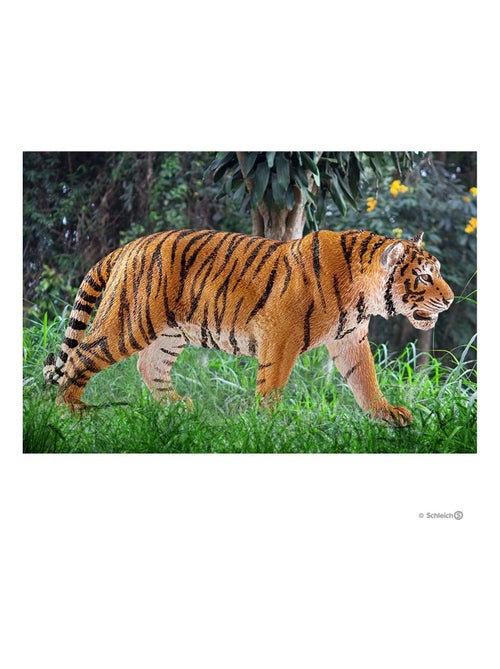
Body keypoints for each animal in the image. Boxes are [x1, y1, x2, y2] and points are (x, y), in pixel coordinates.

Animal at [43, 228, 454, 426]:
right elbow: (271, 383)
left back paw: (178, 409)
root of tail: (127, 246)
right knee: (81, 355)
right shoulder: (281, 335)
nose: (450, 300)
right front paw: (269, 427)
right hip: (130, 322)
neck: (363, 295)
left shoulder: (350, 339)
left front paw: (386, 415)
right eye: (423, 276)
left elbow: (365, 379)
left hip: (170, 332)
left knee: (149, 366)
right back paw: (71, 412)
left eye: (437, 271)